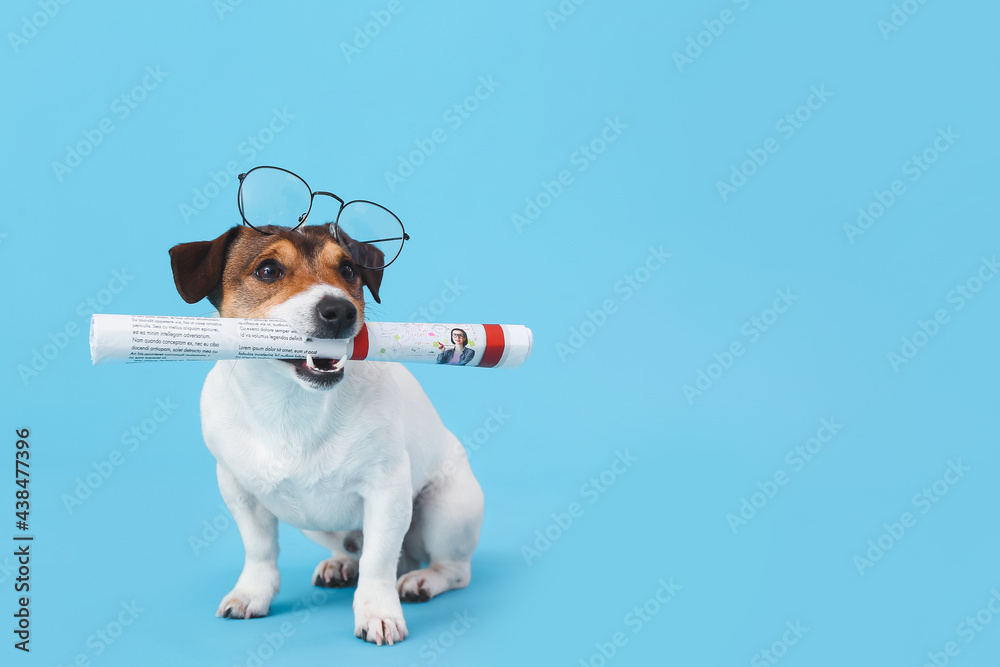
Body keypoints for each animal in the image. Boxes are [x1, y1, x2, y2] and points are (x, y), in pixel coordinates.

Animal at [168, 224, 484, 648]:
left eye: (348, 270)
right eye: (268, 270)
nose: (340, 310)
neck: (292, 402)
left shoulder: (387, 493)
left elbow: (378, 563)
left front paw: (378, 612)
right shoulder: (239, 491)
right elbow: (259, 549)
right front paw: (253, 592)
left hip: (446, 511)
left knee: (450, 569)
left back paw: (422, 580)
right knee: (363, 553)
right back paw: (342, 564)